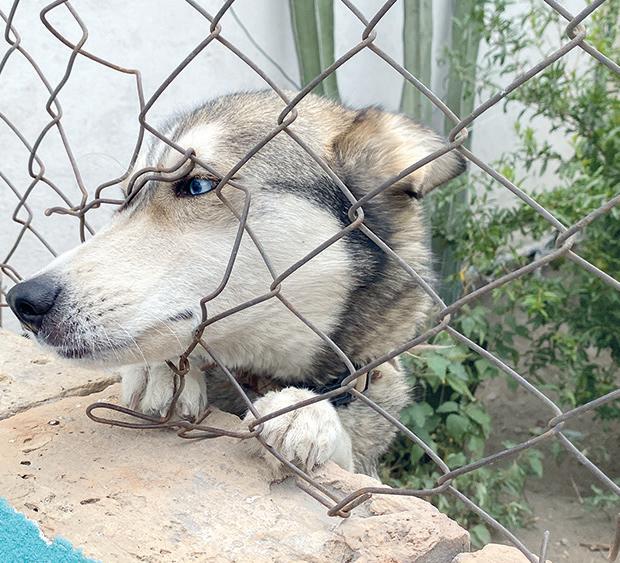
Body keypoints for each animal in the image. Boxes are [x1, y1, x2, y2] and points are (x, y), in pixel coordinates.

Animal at [7, 91, 465, 477]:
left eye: (198, 185)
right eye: (128, 197)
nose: (22, 301)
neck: (256, 375)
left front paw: (305, 411)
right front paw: (160, 369)